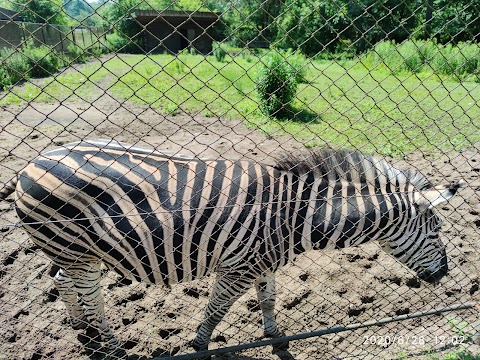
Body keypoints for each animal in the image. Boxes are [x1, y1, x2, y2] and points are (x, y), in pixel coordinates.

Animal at [1, 140, 464, 358]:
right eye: (436, 228)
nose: (444, 274)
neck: (294, 217)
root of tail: (31, 162)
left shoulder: (264, 263)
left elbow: (269, 300)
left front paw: (276, 337)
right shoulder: (239, 267)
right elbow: (217, 310)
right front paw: (200, 346)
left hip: (76, 252)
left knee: (64, 282)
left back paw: (83, 329)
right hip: (76, 249)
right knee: (89, 293)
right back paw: (112, 346)